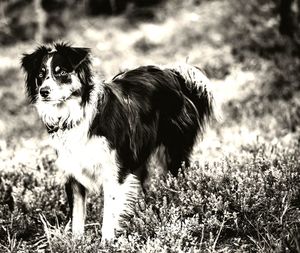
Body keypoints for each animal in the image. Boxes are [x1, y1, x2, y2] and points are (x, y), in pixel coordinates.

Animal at [20, 42, 213, 242]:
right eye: (40, 74)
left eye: (62, 72)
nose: (43, 91)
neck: (75, 115)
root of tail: (173, 73)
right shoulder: (73, 172)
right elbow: (77, 217)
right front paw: (76, 243)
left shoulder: (113, 171)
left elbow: (109, 213)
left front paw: (106, 242)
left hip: (173, 151)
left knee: (178, 178)